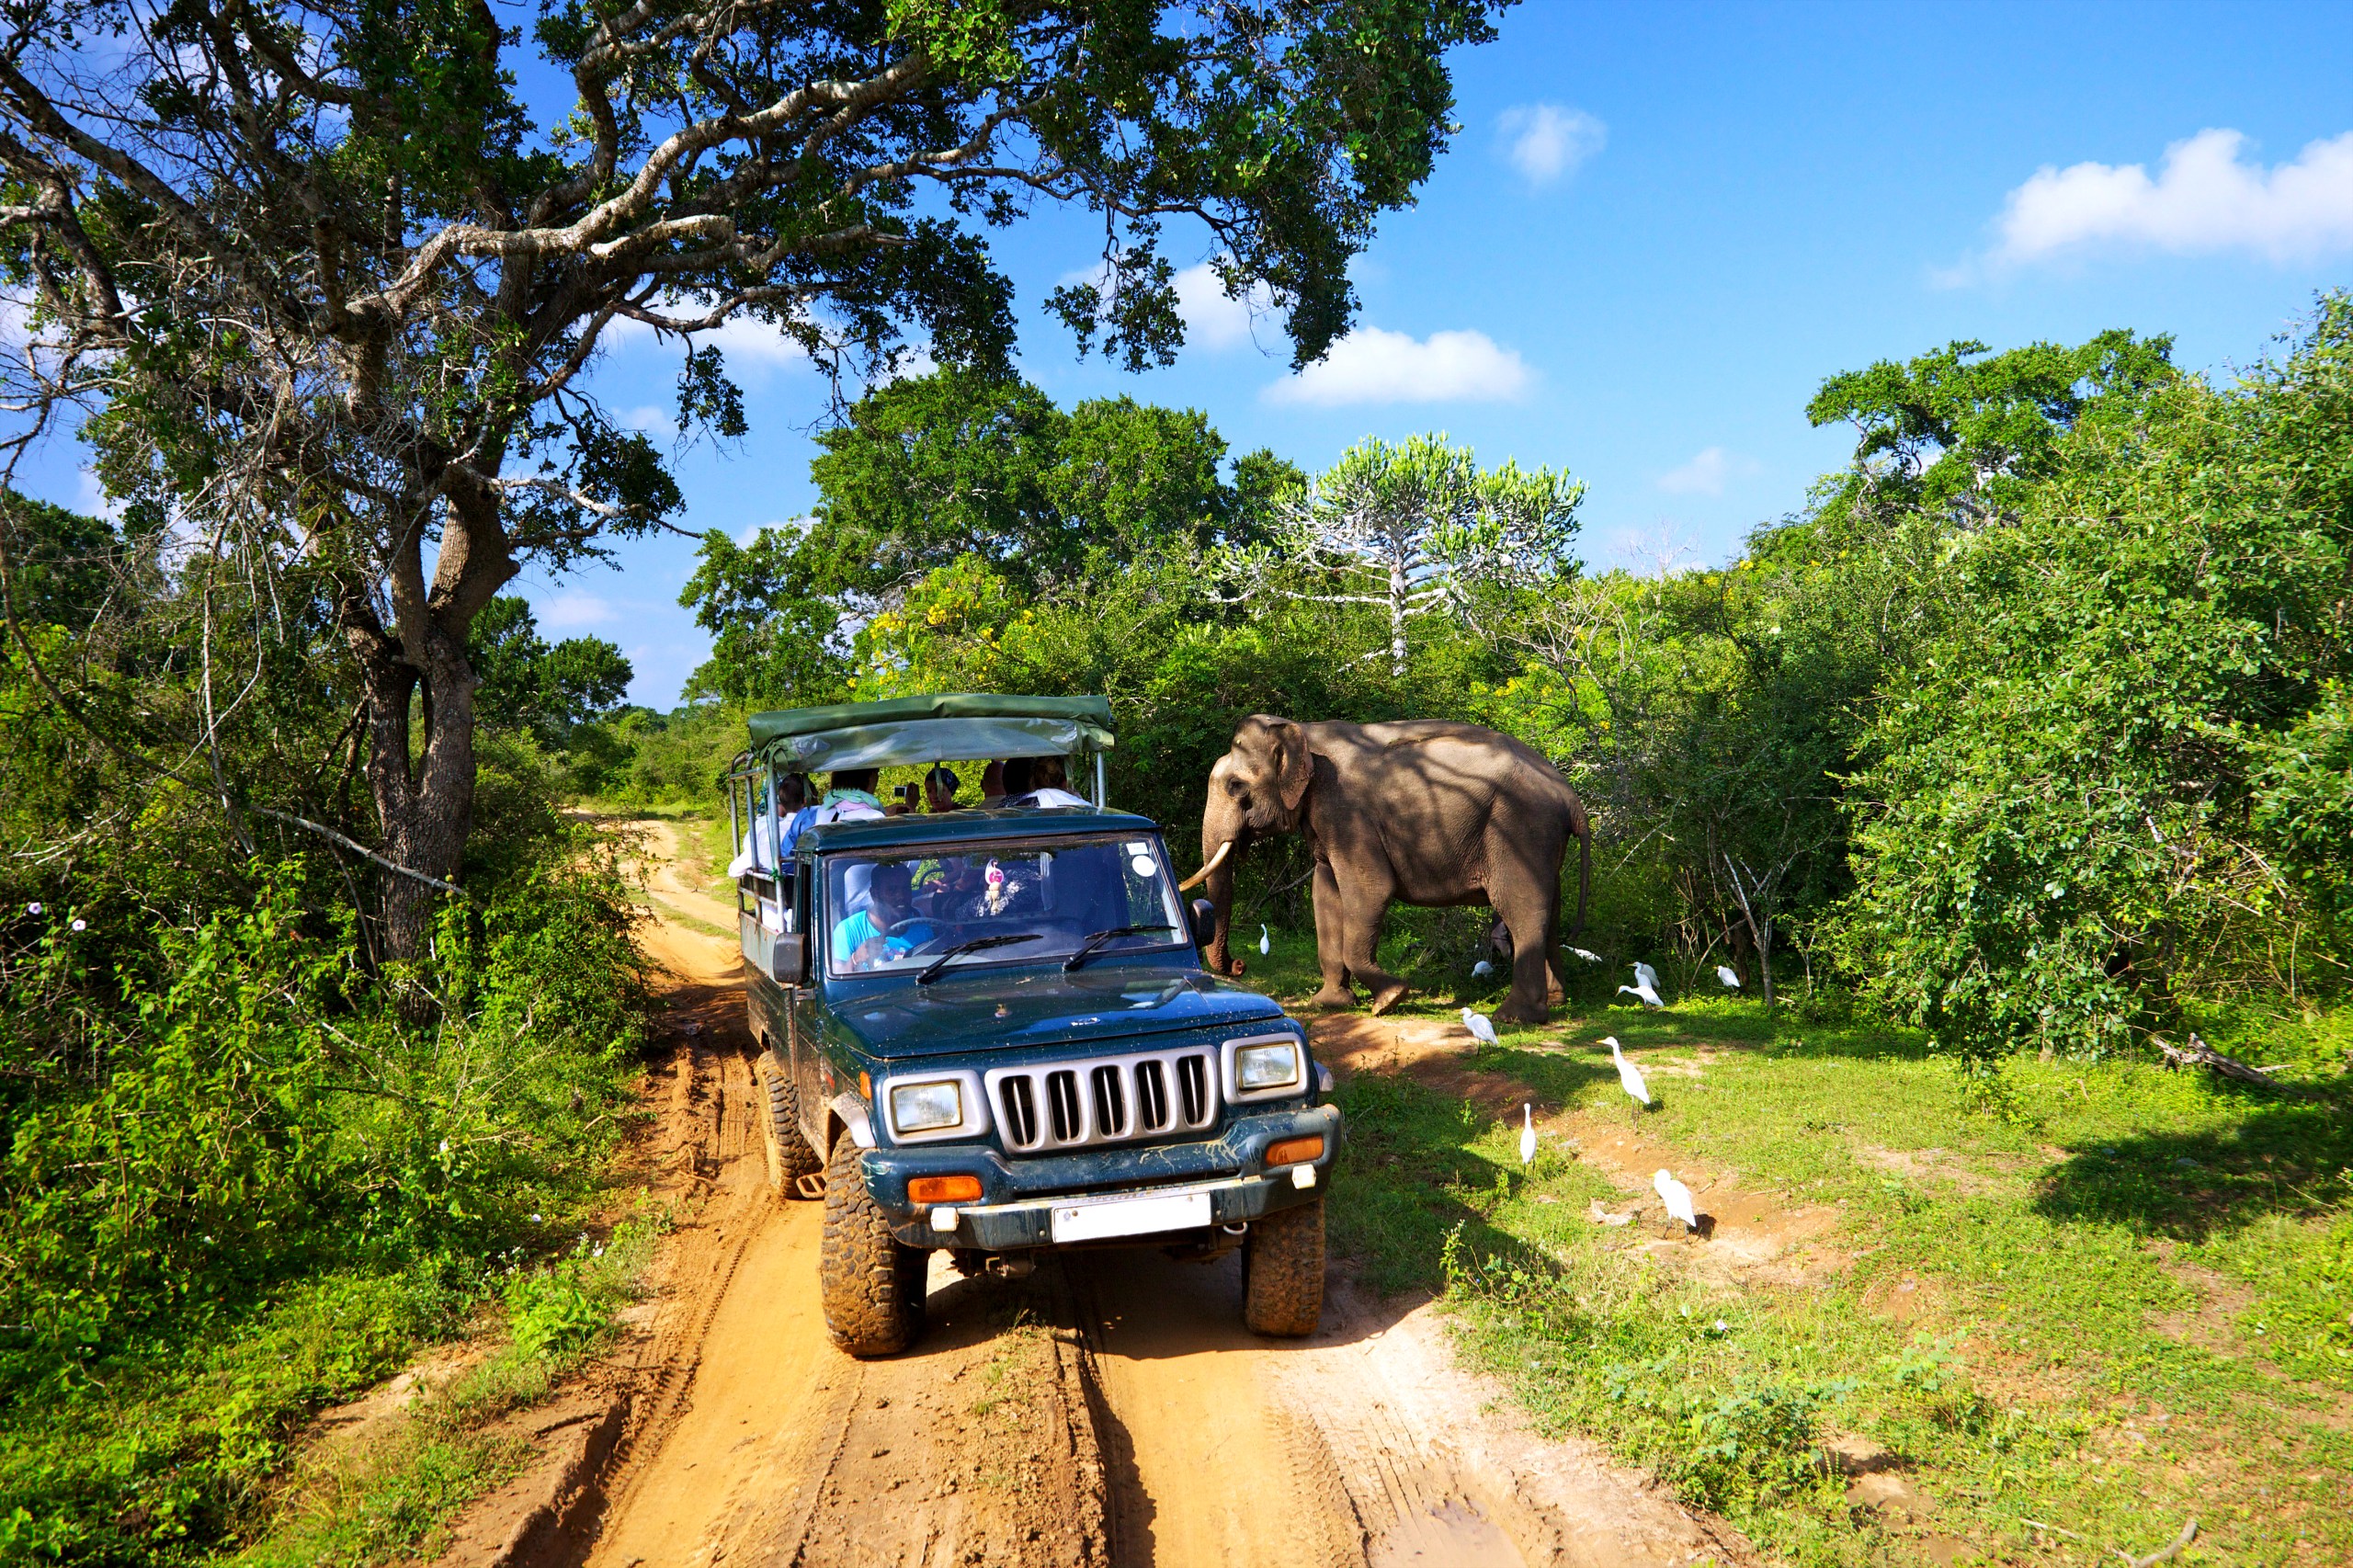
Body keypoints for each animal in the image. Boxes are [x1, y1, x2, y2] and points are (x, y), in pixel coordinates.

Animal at [1186, 710, 1590, 1026]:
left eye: (1236, 787)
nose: (1239, 965)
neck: (1303, 729)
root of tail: (1570, 797)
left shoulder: (1347, 813)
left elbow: (1370, 890)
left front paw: (1390, 1000)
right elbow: (1325, 892)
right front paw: (1330, 1004)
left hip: (1521, 829)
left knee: (1521, 910)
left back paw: (1513, 1017)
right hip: (1542, 840)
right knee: (1550, 909)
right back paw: (1555, 1002)